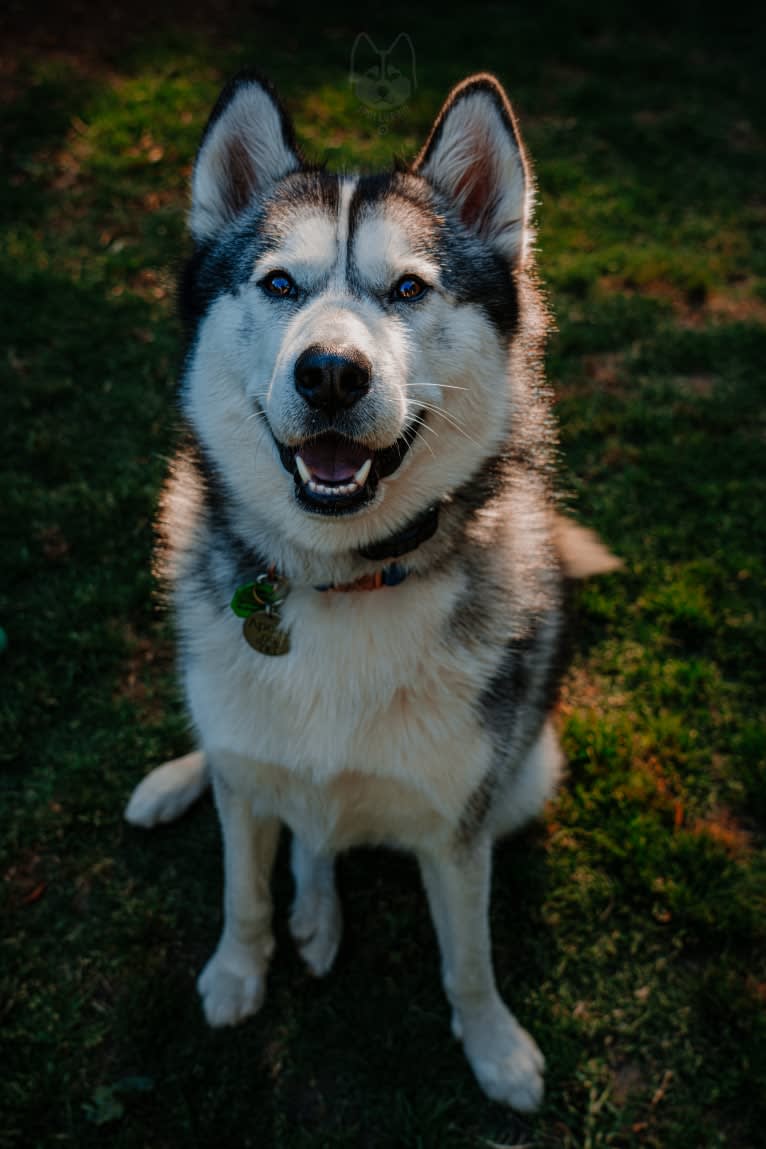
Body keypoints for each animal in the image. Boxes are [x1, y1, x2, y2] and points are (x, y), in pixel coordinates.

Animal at [124, 71, 615, 1112]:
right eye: (279, 284)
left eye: (408, 288)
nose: (331, 373)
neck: (341, 580)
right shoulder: (247, 785)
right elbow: (242, 887)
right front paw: (239, 970)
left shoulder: (462, 825)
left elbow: (467, 958)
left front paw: (494, 1047)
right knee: (255, 781)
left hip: (528, 776)